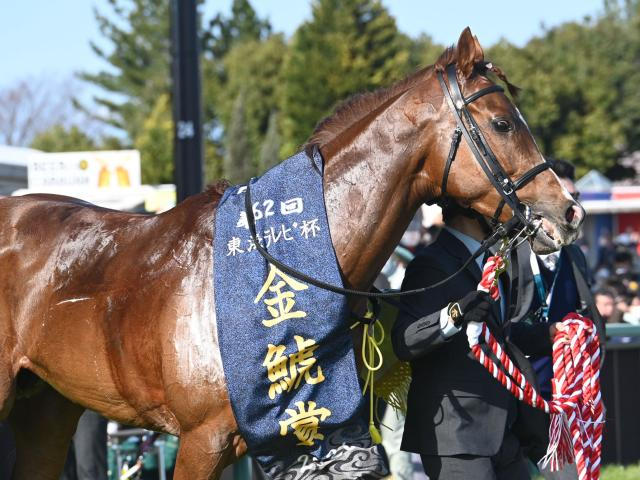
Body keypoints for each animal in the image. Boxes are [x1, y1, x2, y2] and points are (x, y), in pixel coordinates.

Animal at [0, 28, 583, 479]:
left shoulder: (309, 433)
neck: (287, 261)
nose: (569, 211)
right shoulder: (201, 441)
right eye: (503, 123)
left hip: (48, 406)